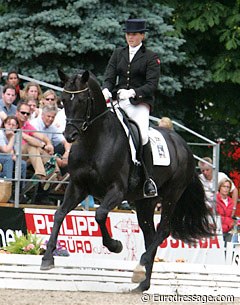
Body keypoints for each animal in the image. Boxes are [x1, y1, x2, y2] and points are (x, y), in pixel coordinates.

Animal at [40, 70, 215, 290]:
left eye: (82, 100)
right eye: (62, 100)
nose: (69, 135)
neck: (93, 141)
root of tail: (184, 146)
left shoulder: (117, 190)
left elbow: (100, 214)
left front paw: (115, 245)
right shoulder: (78, 187)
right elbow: (59, 214)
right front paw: (47, 259)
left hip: (171, 196)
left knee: (163, 231)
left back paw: (140, 266)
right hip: (145, 202)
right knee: (150, 235)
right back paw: (142, 283)